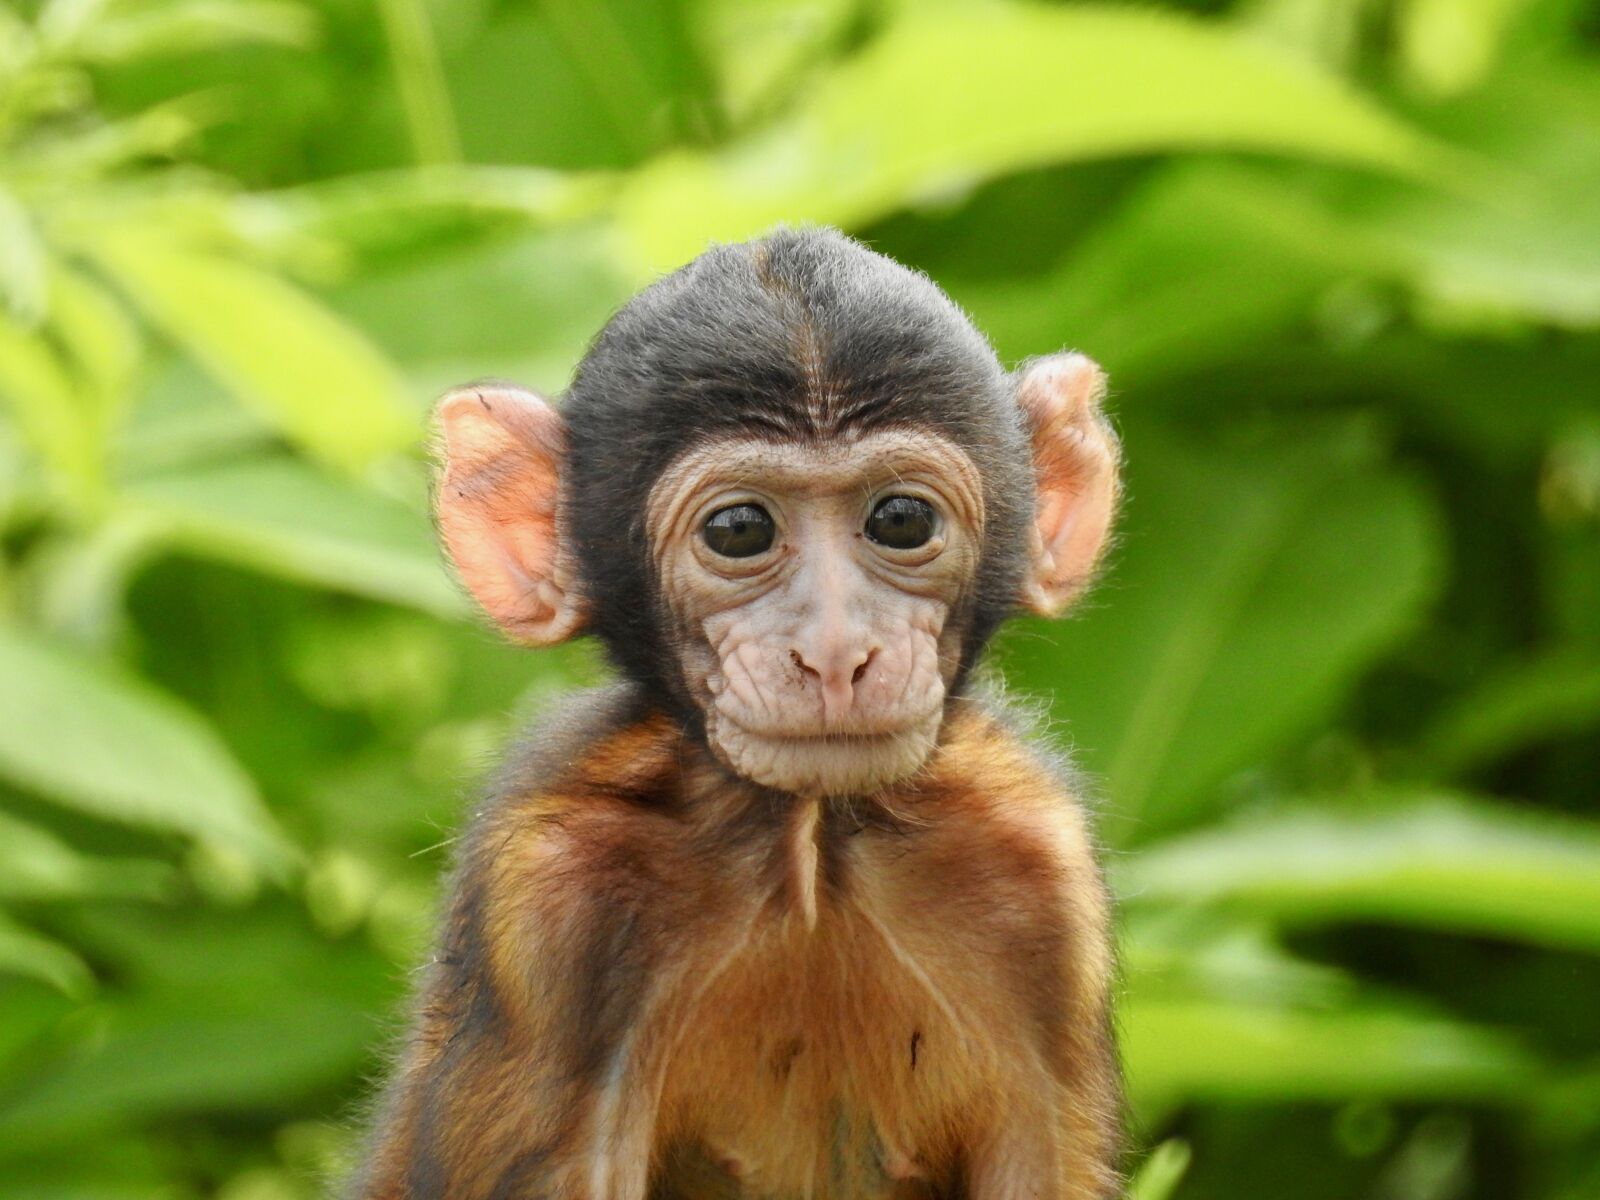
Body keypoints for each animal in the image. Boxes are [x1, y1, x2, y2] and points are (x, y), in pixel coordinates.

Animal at [350, 227, 1124, 1200]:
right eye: (739, 531)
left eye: (901, 520)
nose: (834, 650)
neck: (810, 846)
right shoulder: (548, 904)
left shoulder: (1040, 878)